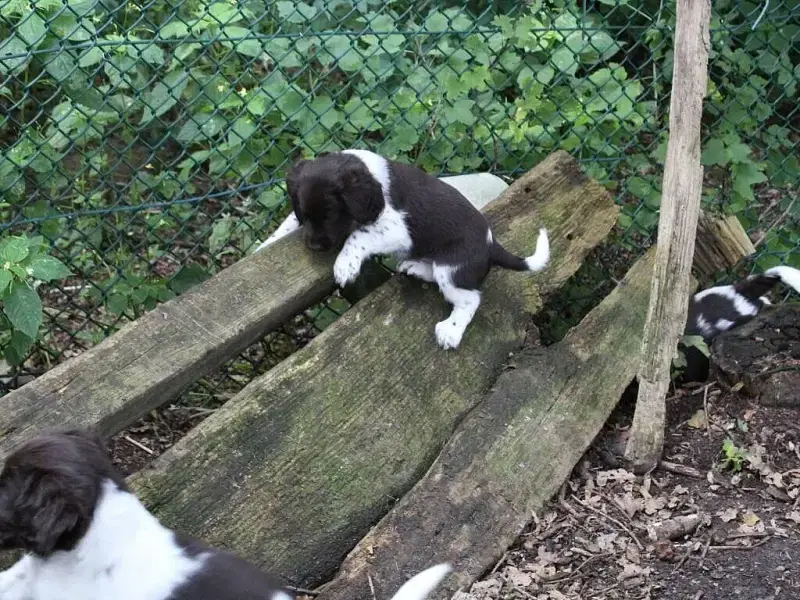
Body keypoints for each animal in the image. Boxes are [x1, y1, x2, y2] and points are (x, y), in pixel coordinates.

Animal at [255, 149, 550, 349]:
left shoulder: (397, 228)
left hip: (451, 268)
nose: (315, 246)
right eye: (305, 213)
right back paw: (415, 267)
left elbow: (358, 236)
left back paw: (451, 331)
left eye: (331, 214)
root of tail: (491, 245)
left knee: (469, 299)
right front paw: (264, 247)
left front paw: (344, 265)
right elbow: (286, 224)